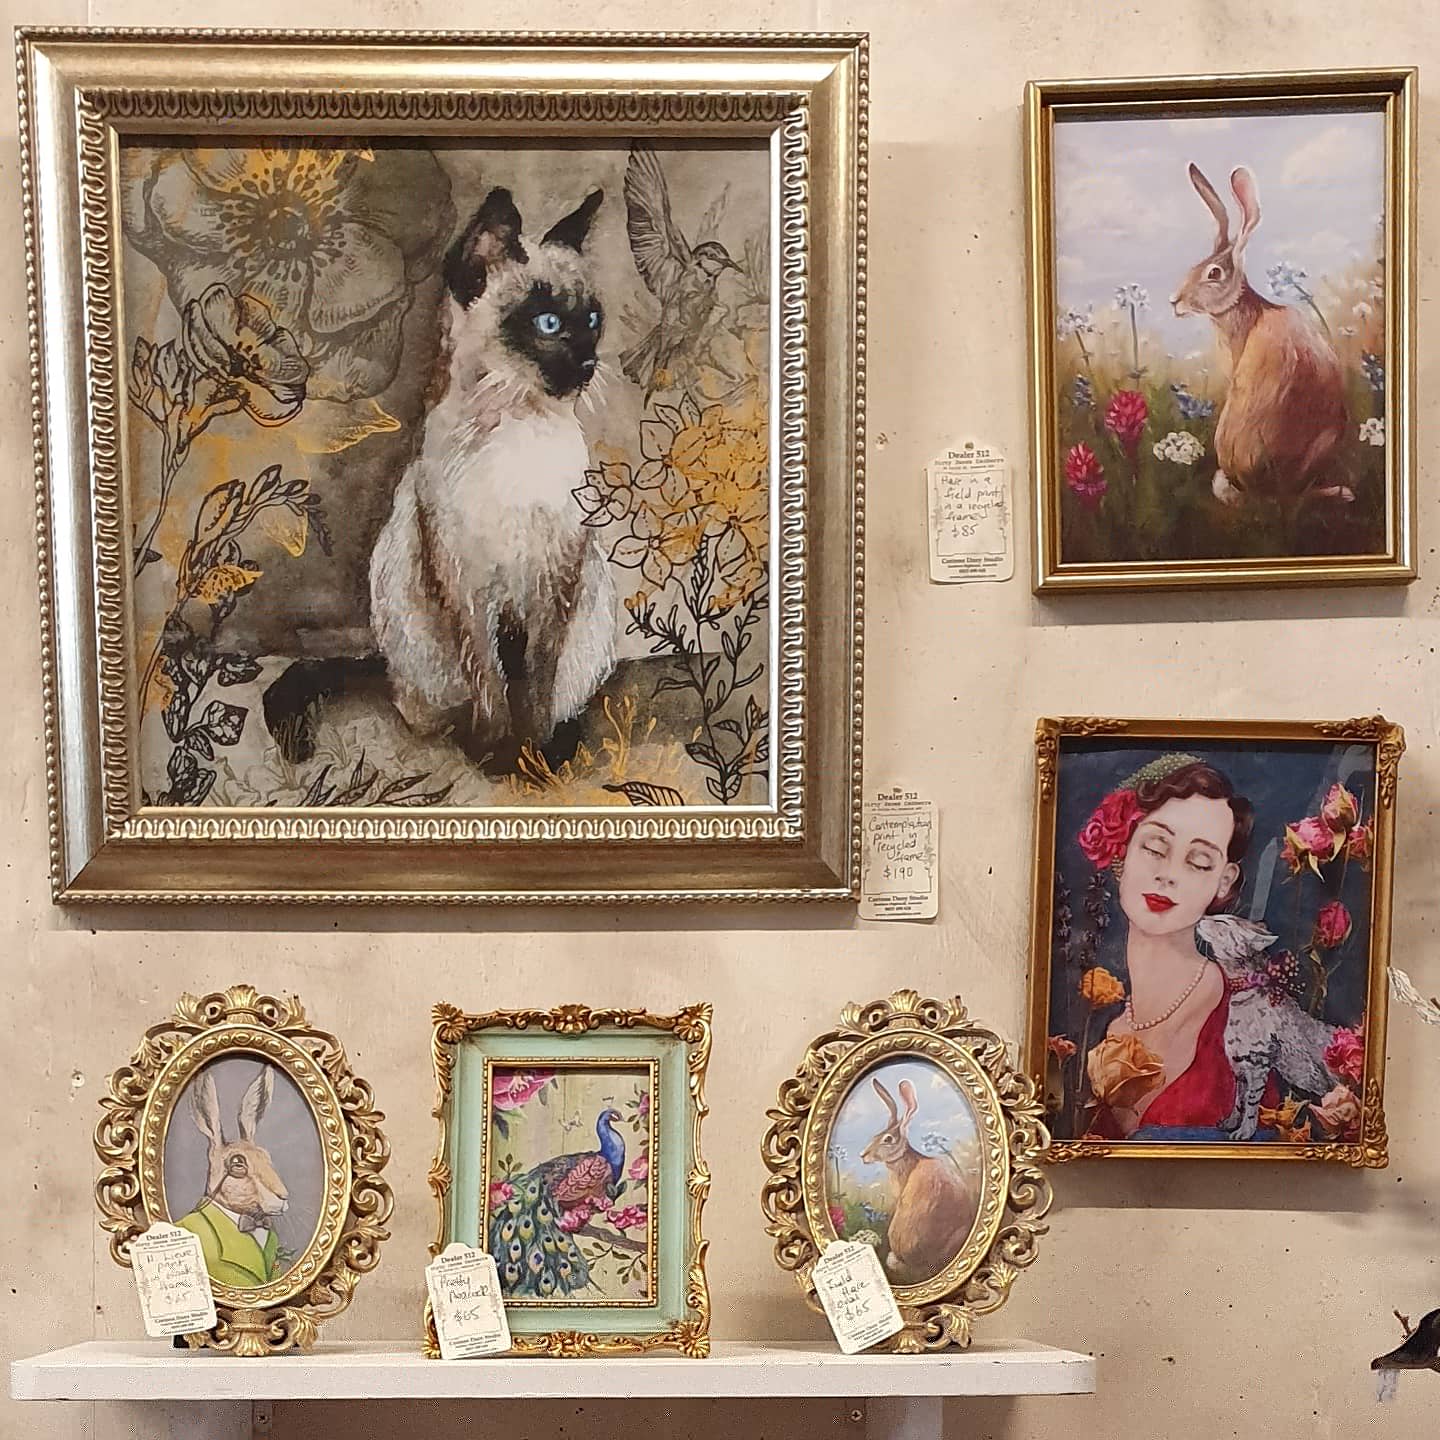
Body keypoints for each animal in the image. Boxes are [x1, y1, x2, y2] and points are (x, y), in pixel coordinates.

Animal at [265, 184, 617, 774]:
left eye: (592, 320)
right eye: (547, 324)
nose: (589, 364)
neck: (517, 431)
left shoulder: (554, 577)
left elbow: (538, 681)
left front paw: (536, 753)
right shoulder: (464, 581)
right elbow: (491, 679)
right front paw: (500, 753)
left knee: (565, 691)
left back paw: (556, 742)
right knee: (429, 707)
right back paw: (471, 739)